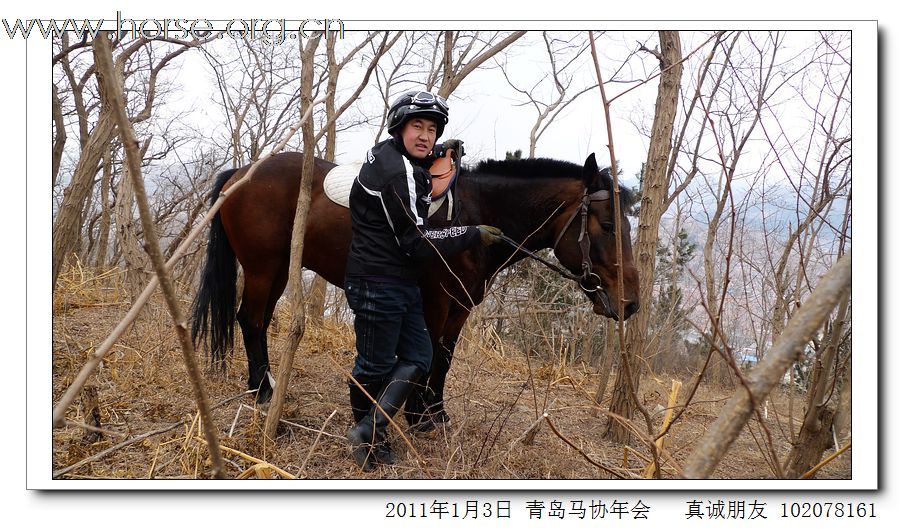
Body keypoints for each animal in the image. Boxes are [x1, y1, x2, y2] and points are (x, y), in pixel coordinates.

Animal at [192, 150, 644, 428]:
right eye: (607, 225)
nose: (631, 303)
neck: (472, 214)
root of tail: (240, 173)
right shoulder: (435, 300)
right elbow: (426, 356)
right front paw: (417, 416)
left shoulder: (461, 306)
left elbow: (443, 358)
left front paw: (435, 414)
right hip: (263, 268)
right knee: (251, 321)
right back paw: (263, 392)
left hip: (277, 272)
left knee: (257, 321)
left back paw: (264, 384)